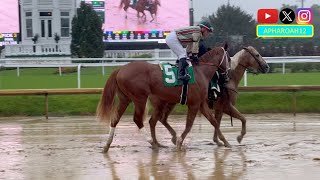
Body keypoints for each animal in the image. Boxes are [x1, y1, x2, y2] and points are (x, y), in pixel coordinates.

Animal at [96, 45, 231, 153]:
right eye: (229, 58)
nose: (227, 76)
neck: (201, 72)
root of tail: (120, 69)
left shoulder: (201, 103)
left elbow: (214, 121)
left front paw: (225, 141)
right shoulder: (194, 104)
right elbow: (189, 125)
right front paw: (179, 142)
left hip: (126, 99)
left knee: (116, 119)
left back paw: (107, 146)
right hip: (140, 98)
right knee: (139, 120)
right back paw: (153, 142)